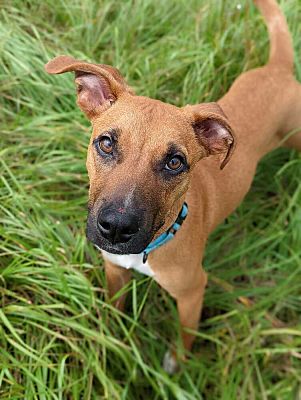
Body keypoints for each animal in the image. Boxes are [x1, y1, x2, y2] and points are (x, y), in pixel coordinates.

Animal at [45, 0, 300, 374]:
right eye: (105, 143)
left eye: (175, 162)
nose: (116, 228)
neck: (152, 246)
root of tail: (278, 69)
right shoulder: (114, 270)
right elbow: (115, 308)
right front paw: (113, 337)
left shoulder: (193, 292)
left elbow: (185, 337)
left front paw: (176, 364)